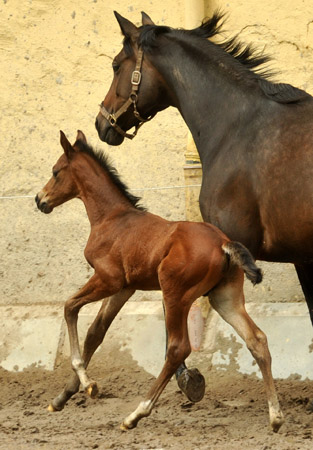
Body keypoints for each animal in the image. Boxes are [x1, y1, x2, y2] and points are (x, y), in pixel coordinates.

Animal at [36, 131, 282, 432]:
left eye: (55, 171)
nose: (39, 199)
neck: (112, 218)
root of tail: (223, 243)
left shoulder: (108, 279)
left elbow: (69, 307)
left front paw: (86, 382)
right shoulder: (125, 288)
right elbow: (96, 332)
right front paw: (64, 397)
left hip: (175, 294)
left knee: (178, 348)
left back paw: (135, 414)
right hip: (225, 297)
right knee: (256, 339)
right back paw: (275, 417)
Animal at [94, 9, 312, 398]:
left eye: (117, 65)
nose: (102, 123)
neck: (237, 125)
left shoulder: (224, 246)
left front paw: (188, 378)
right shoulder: (303, 257)